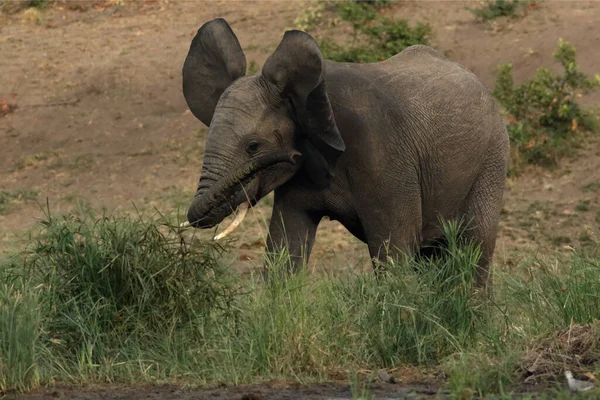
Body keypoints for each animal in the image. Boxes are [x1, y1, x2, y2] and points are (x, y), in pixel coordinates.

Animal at [180, 17, 508, 290]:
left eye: (253, 147)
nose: (290, 156)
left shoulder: (382, 153)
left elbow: (394, 247)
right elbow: (285, 246)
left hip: (493, 157)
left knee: (476, 247)